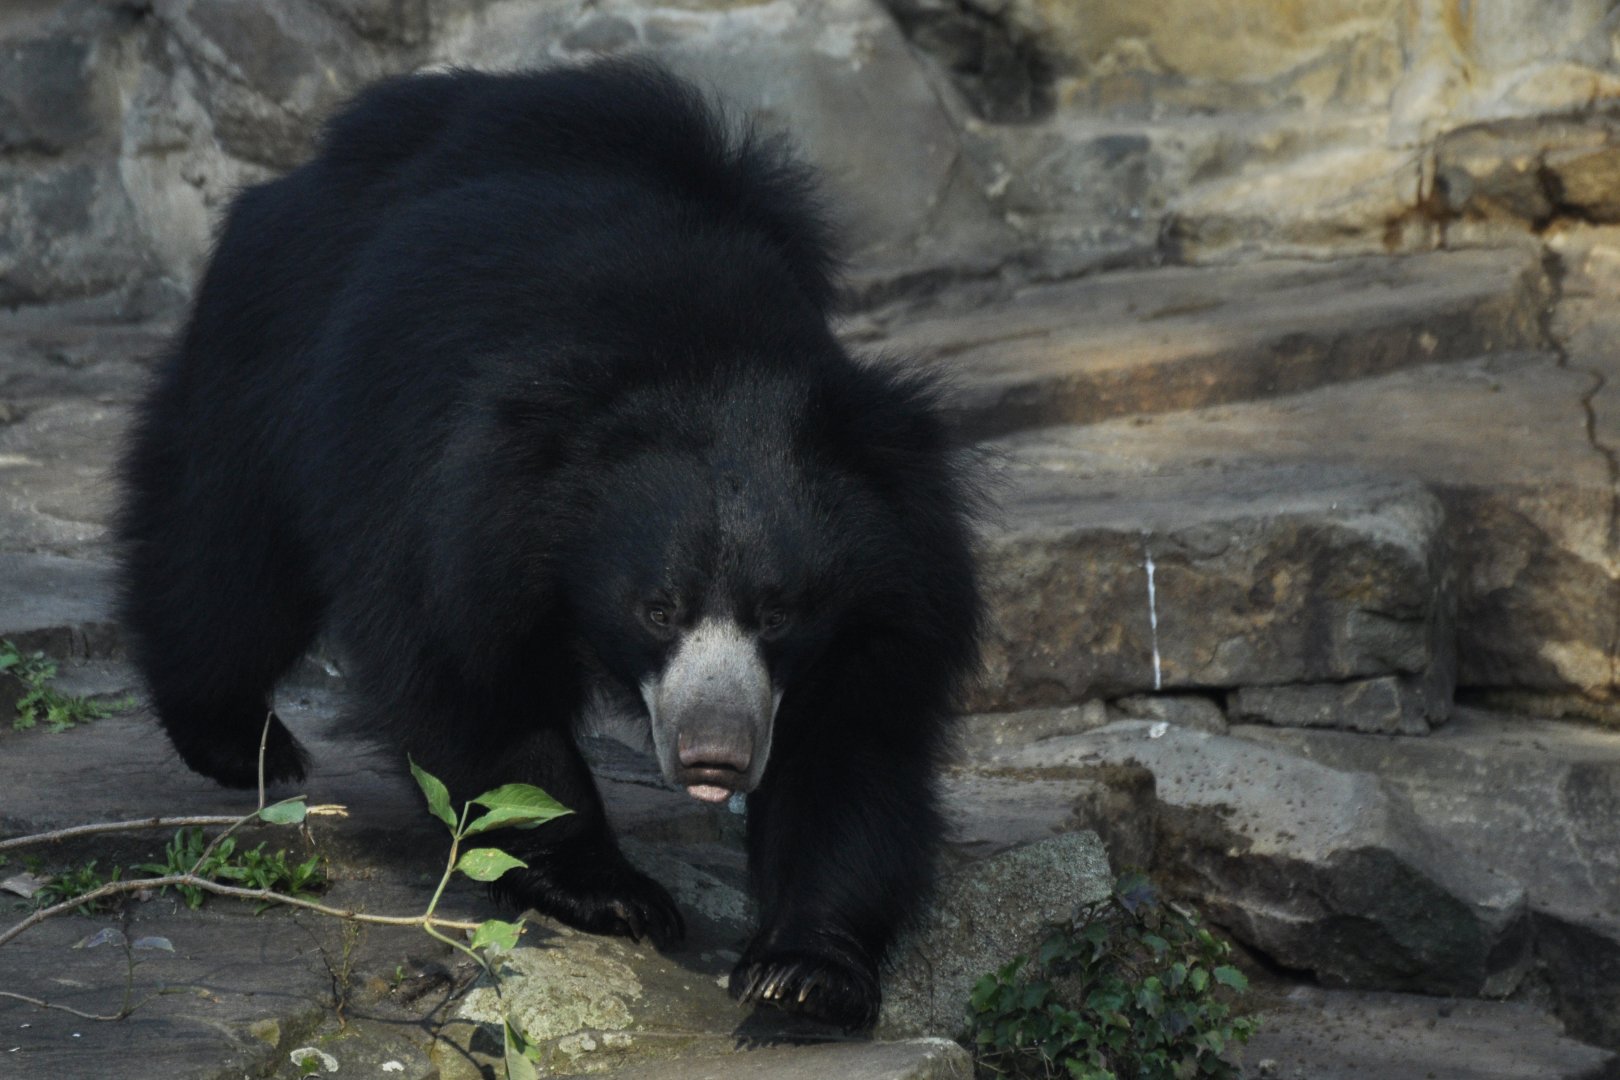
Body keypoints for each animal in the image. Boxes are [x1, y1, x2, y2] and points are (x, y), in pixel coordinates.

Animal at [116, 60, 982, 1031]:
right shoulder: (459, 506)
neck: (712, 358)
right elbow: (469, 682)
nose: (714, 756)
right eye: (658, 609)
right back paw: (240, 742)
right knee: (226, 554)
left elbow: (853, 747)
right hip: (274, 349)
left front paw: (802, 970)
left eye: (779, 613)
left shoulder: (896, 584)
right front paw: (614, 895)